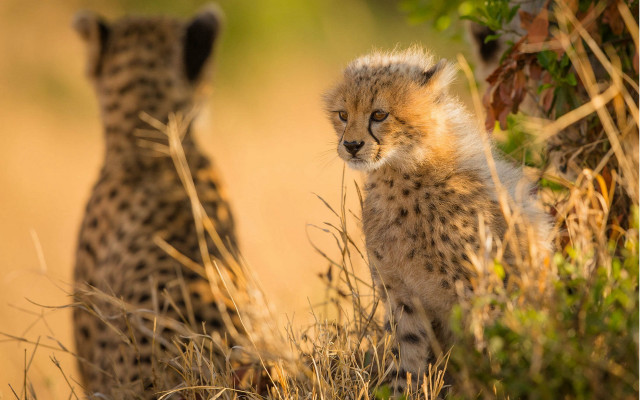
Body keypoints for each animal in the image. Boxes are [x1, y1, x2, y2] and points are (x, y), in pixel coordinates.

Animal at [324, 47, 550, 395]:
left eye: (379, 115)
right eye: (343, 115)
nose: (351, 145)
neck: (402, 173)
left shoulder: (479, 287)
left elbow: (492, 345)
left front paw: (497, 387)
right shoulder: (401, 293)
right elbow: (406, 352)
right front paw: (399, 392)